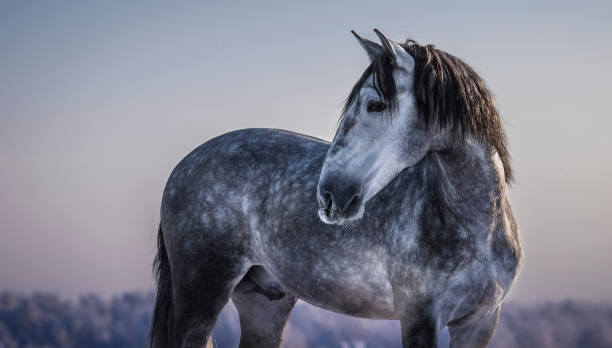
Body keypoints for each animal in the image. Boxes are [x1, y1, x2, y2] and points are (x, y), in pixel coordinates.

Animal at [151, 28, 524, 346]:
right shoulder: (420, 319)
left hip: (265, 302)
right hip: (201, 294)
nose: (329, 196)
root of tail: (182, 167)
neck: (474, 223)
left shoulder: (479, 323)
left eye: (376, 104)